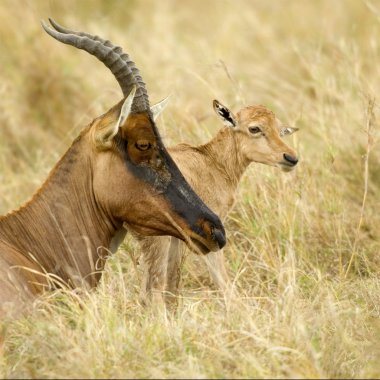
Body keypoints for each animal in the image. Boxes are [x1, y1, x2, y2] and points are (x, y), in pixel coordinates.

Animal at [135, 98, 298, 306]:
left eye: (279, 129)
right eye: (254, 128)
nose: (291, 158)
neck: (211, 162)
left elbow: (172, 285)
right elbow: (224, 285)